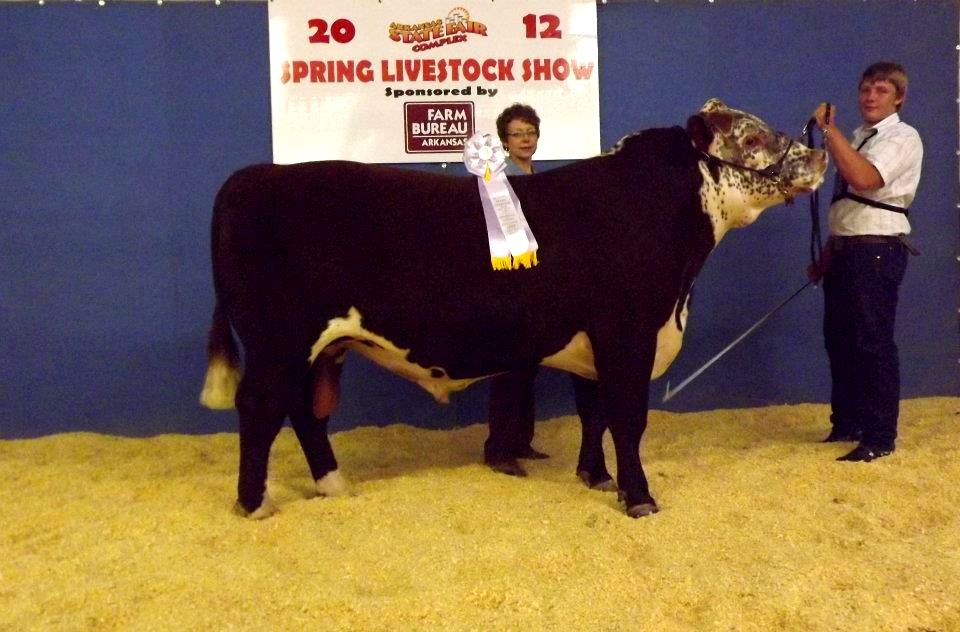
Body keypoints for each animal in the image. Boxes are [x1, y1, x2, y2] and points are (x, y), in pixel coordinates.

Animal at [197, 100, 824, 520]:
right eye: (752, 136)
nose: (818, 152)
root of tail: (256, 175)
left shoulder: (593, 343)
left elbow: (594, 414)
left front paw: (596, 478)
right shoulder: (627, 333)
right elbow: (627, 419)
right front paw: (640, 498)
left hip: (322, 346)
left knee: (304, 410)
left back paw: (333, 485)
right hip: (279, 340)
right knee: (260, 407)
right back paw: (254, 504)